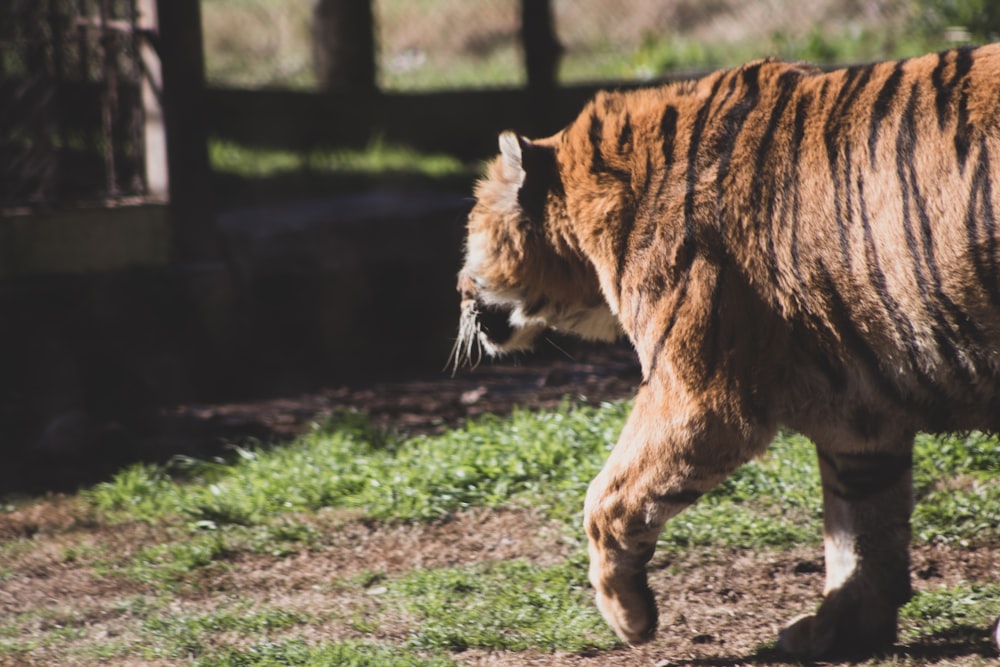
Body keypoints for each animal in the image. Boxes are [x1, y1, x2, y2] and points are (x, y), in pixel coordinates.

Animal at [452, 44, 1000, 660]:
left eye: (470, 234)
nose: (458, 292)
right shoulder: (861, 420)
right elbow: (861, 527)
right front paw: (840, 628)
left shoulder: (698, 397)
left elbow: (606, 498)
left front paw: (627, 617)